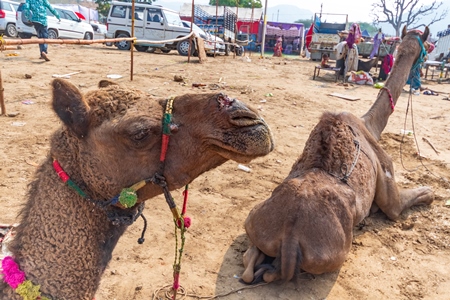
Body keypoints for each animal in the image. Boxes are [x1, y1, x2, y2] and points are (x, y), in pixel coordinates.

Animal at [241, 26, 434, 284]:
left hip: (254, 222)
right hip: (336, 253)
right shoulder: (388, 179)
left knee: (250, 266)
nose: (419, 76)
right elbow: (413, 199)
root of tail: (290, 238)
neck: (371, 125)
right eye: (426, 49)